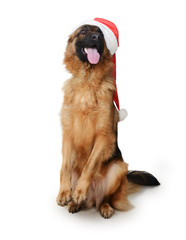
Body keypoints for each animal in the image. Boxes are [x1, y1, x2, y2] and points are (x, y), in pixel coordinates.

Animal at [56, 23, 160, 218]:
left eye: (100, 33)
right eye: (83, 31)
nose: (96, 37)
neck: (88, 81)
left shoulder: (103, 136)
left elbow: (89, 166)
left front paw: (79, 192)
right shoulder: (68, 135)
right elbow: (64, 168)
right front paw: (65, 193)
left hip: (118, 168)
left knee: (106, 198)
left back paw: (102, 206)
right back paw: (75, 204)